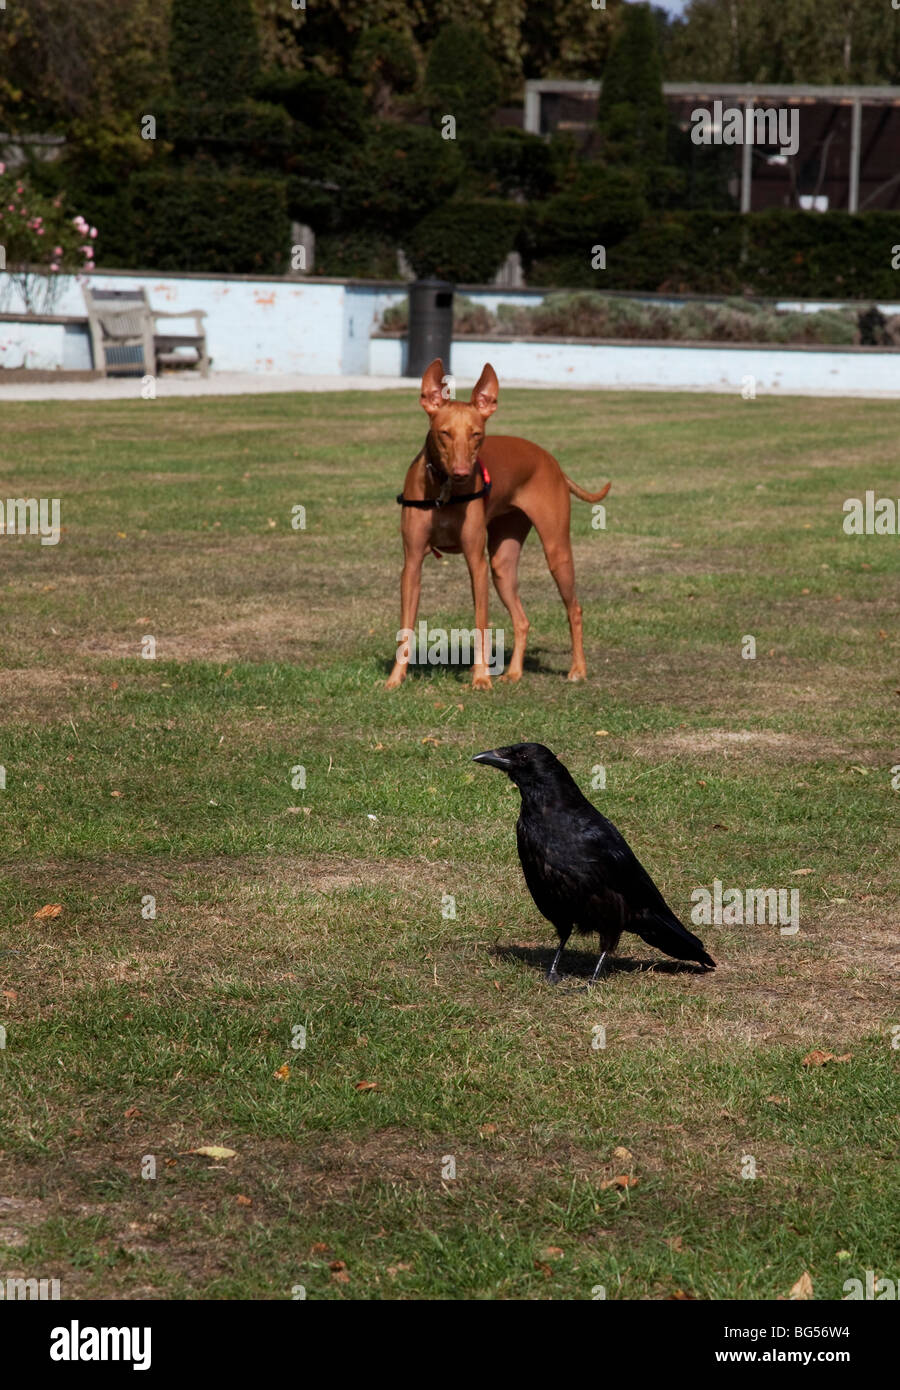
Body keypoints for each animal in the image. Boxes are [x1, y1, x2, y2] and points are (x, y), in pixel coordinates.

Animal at [386, 353, 612, 689]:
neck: (445, 491)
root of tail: (551, 461)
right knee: (522, 619)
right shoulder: (412, 563)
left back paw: (578, 669)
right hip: (502, 564)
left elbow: (481, 623)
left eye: (476, 434)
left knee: (575, 608)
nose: (463, 473)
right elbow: (406, 627)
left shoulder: (476, 562)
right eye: (444, 433)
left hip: (556, 551)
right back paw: (514, 672)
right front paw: (395, 678)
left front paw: (480, 678)